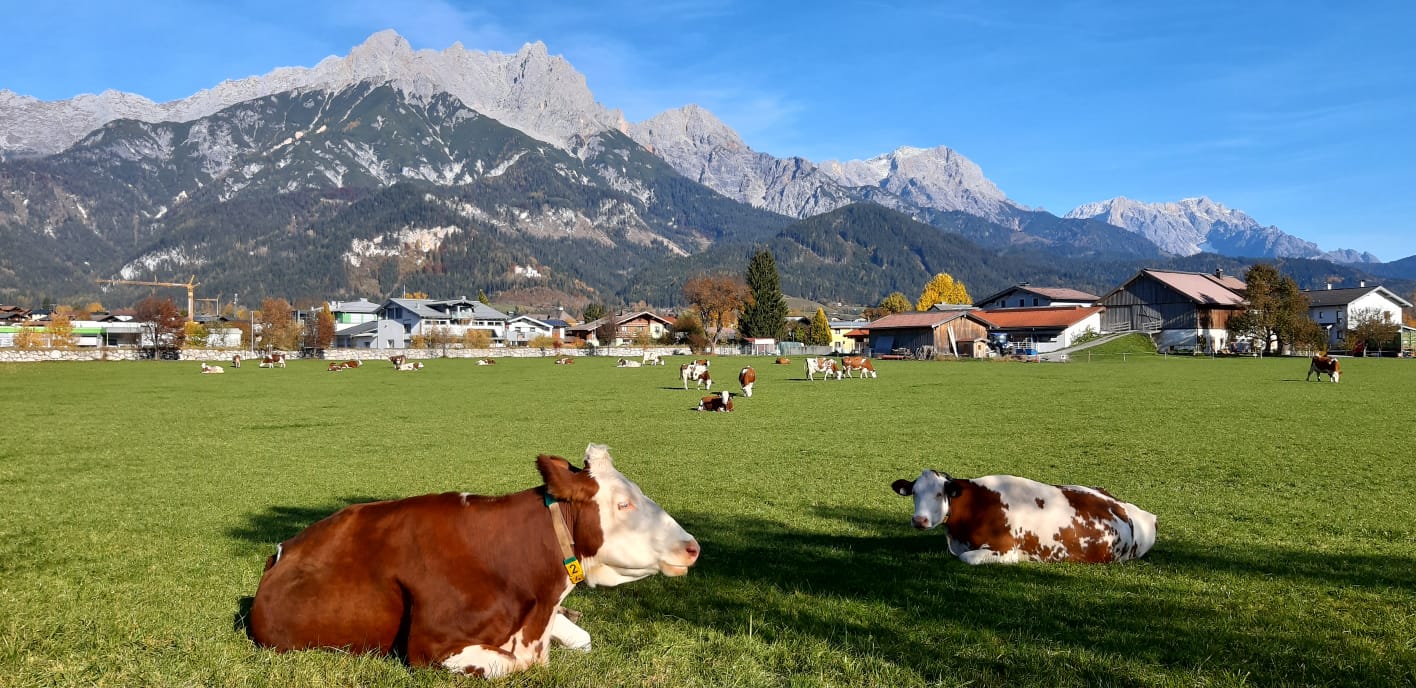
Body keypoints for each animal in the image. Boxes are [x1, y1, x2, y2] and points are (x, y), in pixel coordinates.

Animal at [253, 444, 702, 673]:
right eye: (624, 504)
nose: (692, 546)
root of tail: (283, 549)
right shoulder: (430, 647)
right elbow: (516, 664)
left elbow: (581, 640)